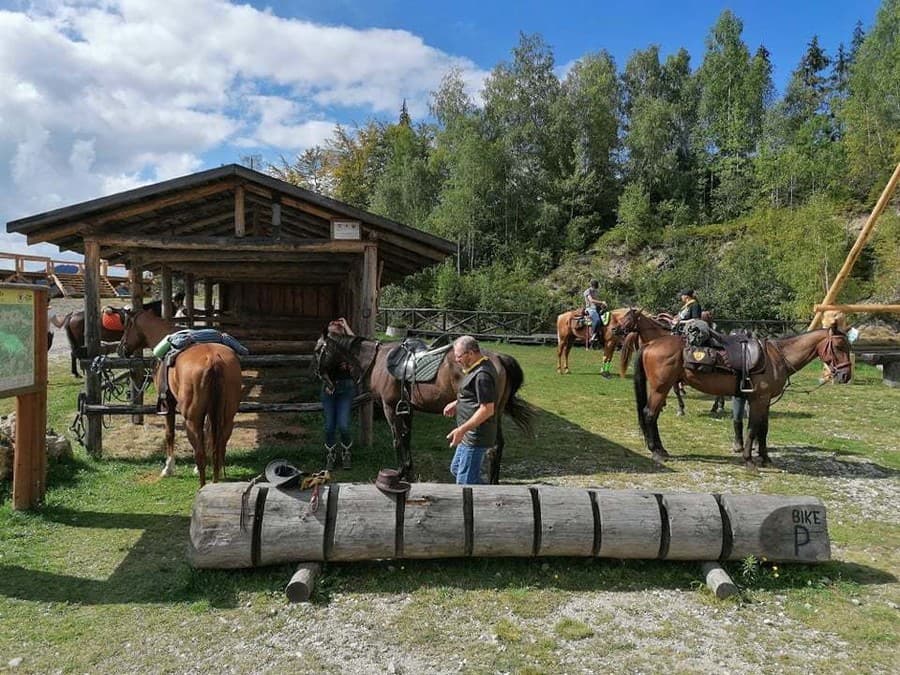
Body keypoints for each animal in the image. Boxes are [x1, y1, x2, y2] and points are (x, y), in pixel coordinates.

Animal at [116, 308, 243, 488]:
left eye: (126, 327)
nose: (121, 349)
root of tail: (214, 361)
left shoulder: (168, 403)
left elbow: (170, 434)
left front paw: (168, 468)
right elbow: (209, 435)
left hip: (191, 420)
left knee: (200, 454)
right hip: (227, 418)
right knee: (219, 449)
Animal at [314, 334, 536, 484]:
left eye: (318, 351)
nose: (320, 377)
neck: (377, 360)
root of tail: (498, 357)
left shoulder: (390, 408)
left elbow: (397, 440)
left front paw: (400, 473)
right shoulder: (407, 408)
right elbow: (406, 438)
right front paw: (409, 471)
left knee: (492, 447)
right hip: (495, 413)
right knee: (497, 446)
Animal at [632, 324, 852, 468]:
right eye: (839, 347)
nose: (846, 375)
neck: (777, 358)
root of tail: (650, 344)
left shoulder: (765, 401)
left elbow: (764, 429)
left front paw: (765, 458)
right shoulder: (758, 399)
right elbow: (753, 428)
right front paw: (748, 459)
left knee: (652, 416)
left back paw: (661, 449)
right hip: (661, 388)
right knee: (649, 414)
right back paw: (656, 451)